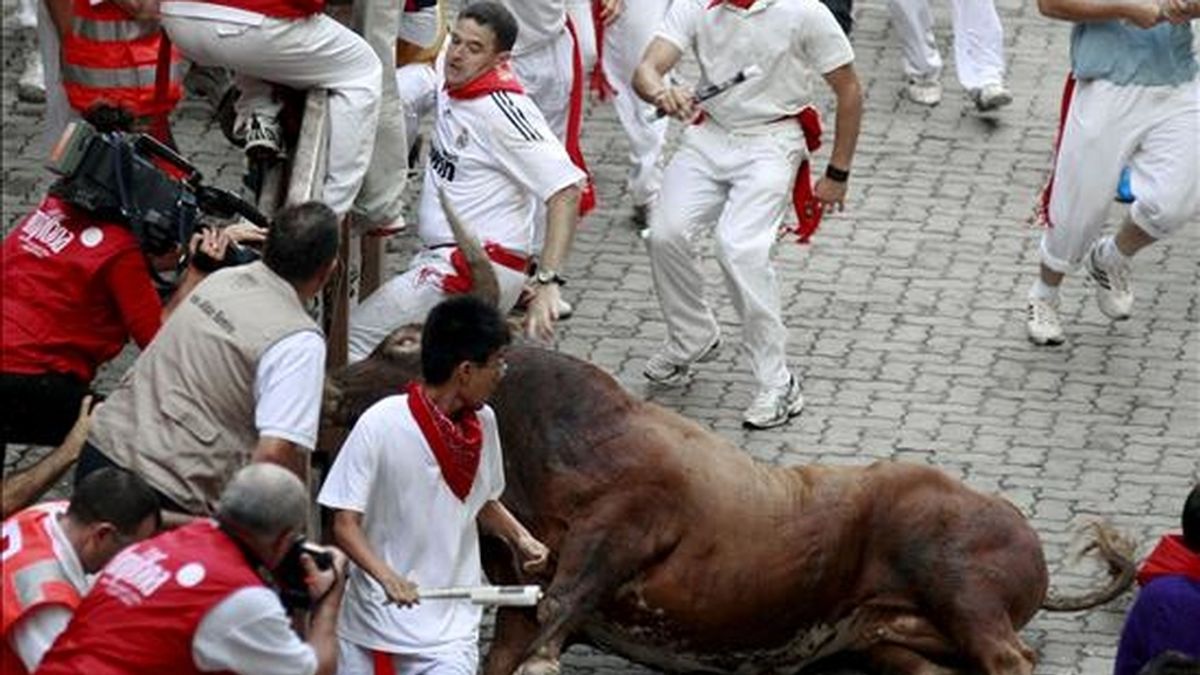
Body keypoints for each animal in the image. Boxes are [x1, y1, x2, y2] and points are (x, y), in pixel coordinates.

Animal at [319, 331, 1132, 672]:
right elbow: (520, 638)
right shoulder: (524, 591)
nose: (329, 387)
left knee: (1010, 657)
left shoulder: (628, 527)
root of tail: (1019, 526)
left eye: (399, 344)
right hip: (891, 637)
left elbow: (560, 611)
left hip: (959, 584)